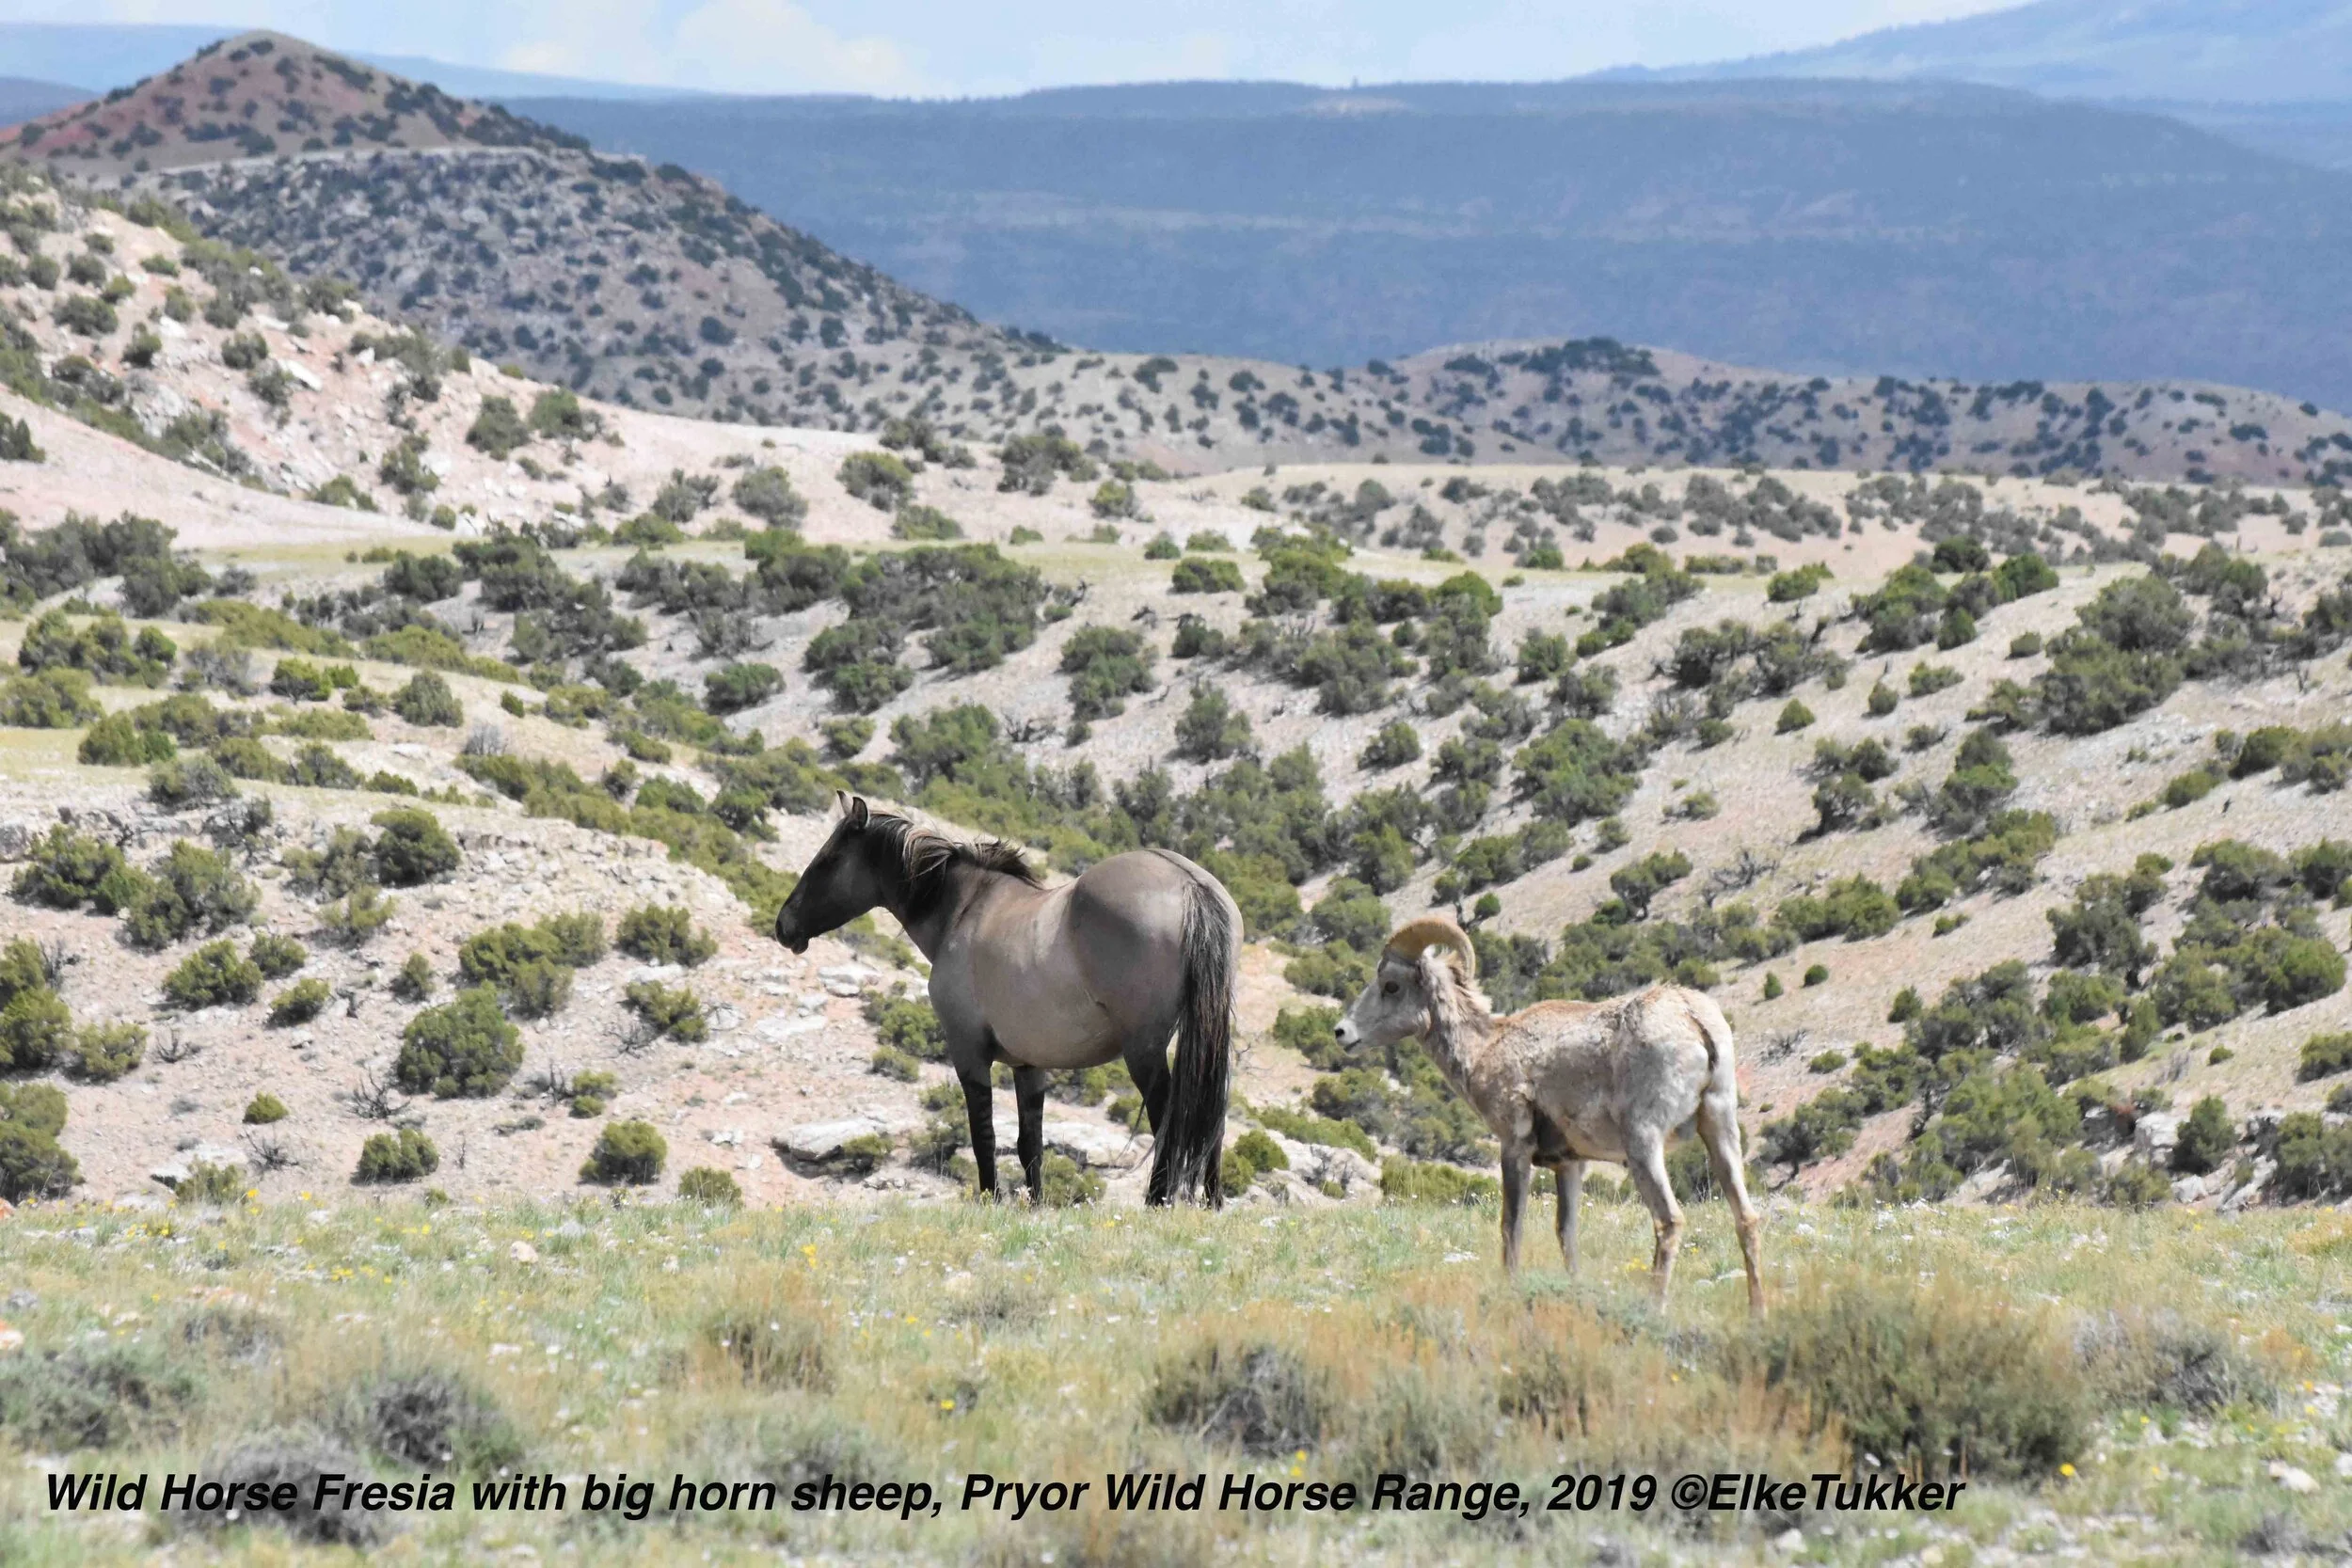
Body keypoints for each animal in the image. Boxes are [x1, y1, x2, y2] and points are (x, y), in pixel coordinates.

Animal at [773, 793, 1238, 1206]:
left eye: (828, 860)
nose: (785, 926)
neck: (963, 910)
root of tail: (1190, 884)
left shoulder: (968, 1054)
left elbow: (984, 1136)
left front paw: (990, 1200)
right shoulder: (1028, 1065)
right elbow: (1029, 1142)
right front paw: (1033, 1207)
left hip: (1144, 1050)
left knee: (1171, 1116)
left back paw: (1158, 1201)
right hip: (1207, 1038)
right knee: (1209, 1115)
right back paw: (1211, 1203)